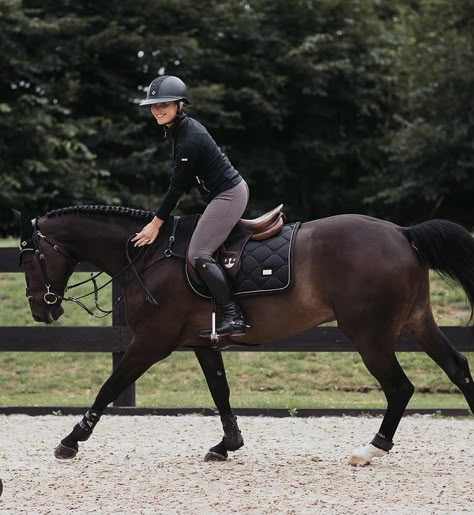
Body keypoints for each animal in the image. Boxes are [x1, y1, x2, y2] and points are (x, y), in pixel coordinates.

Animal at [16, 206, 474, 468]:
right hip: (416, 321)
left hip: (371, 336)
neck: (148, 256)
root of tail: (402, 233)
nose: (43, 310)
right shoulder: (203, 343)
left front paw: (71, 440)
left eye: (29, 259)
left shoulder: (150, 342)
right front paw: (227, 444)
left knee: (399, 387)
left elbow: (110, 387)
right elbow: (220, 392)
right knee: (457, 367)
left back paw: (371, 449)